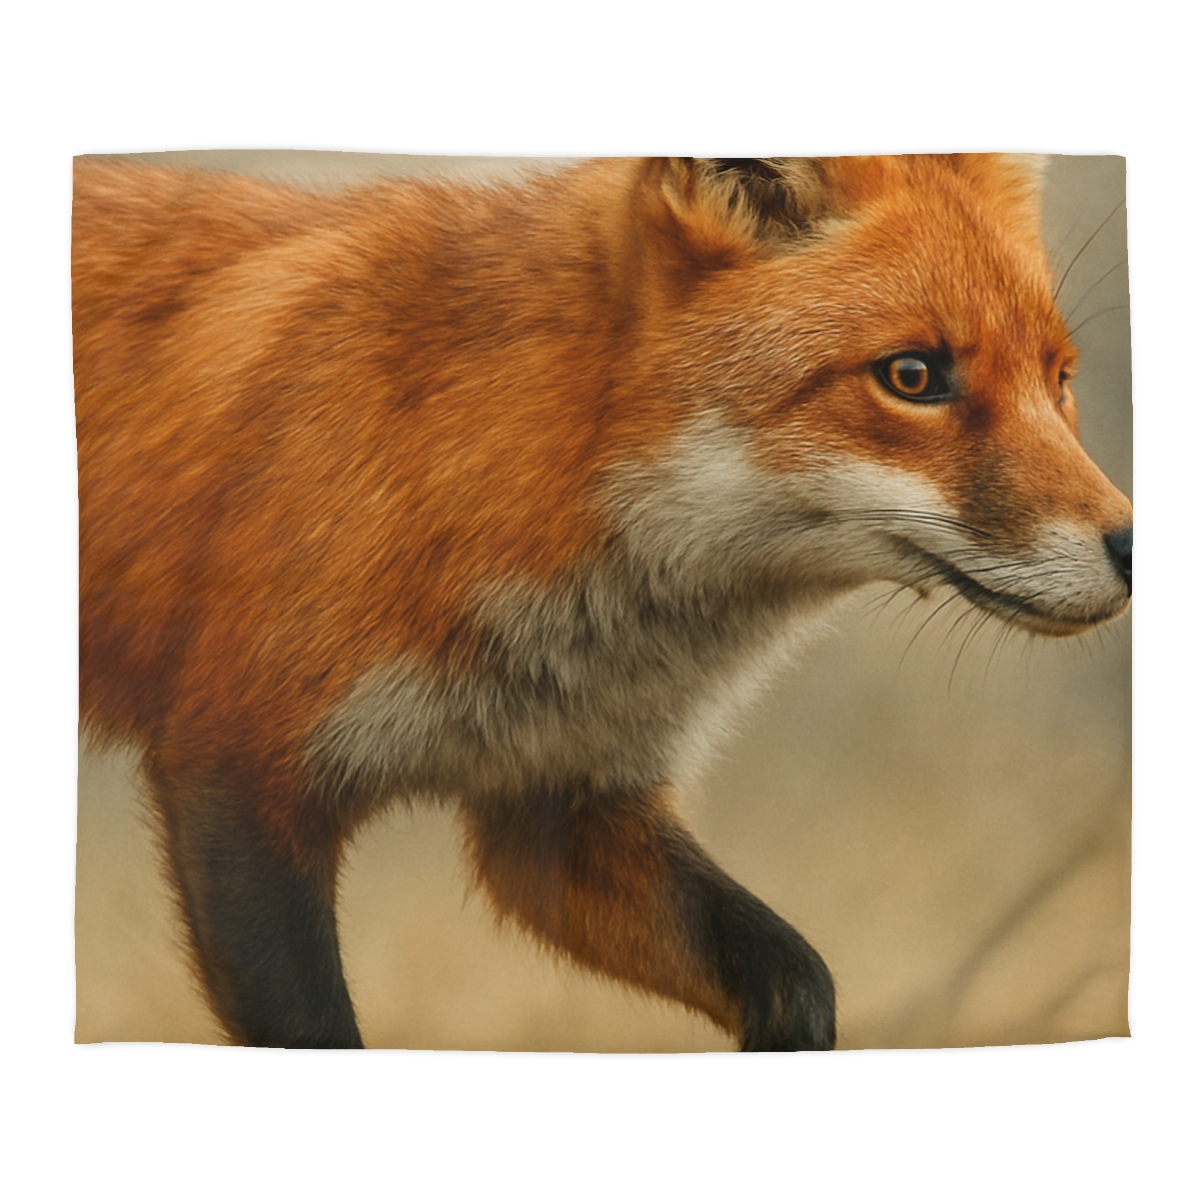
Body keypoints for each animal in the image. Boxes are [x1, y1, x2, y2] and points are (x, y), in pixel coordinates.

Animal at [73, 153, 1132, 1051]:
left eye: (1060, 380)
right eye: (913, 376)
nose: (1133, 546)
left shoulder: (560, 801)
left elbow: (796, 981)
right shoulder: (237, 776)